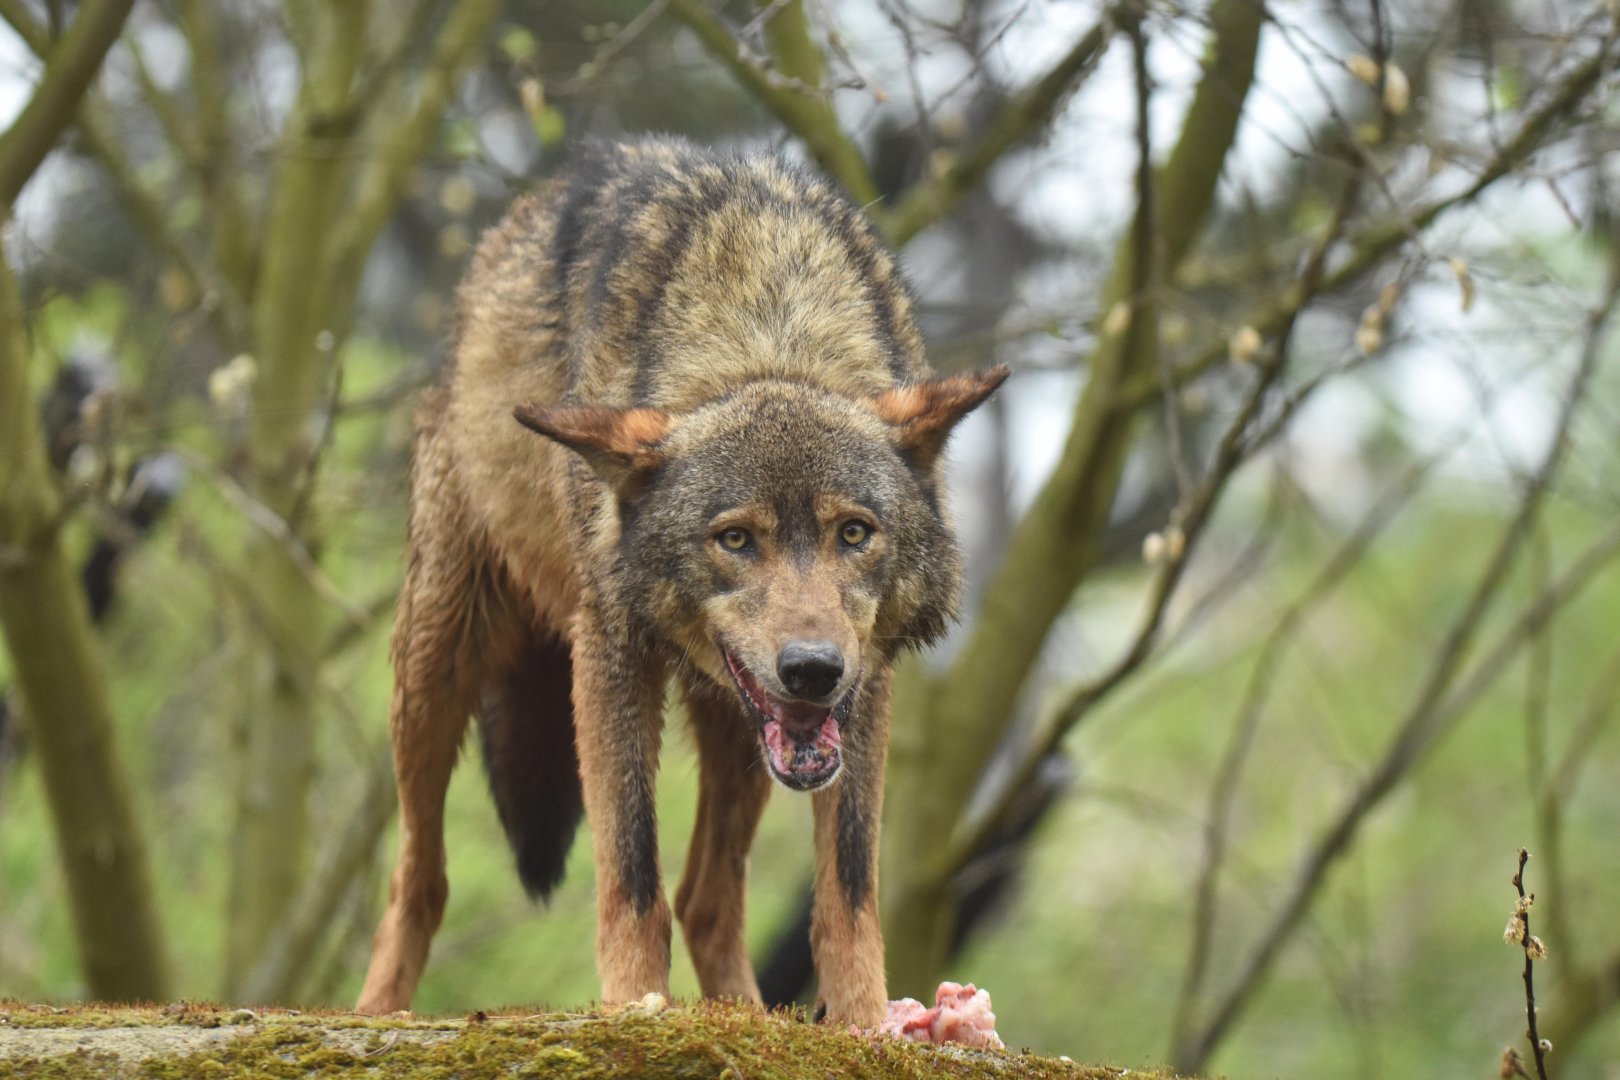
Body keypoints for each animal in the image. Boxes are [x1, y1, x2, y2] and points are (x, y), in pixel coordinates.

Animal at [355, 137, 1004, 1026]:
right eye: (734, 538)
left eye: (854, 532)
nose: (812, 669)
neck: (766, 328)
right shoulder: (608, 653)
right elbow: (631, 873)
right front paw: (637, 1007)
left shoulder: (866, 684)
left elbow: (848, 888)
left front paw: (867, 1023)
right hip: (434, 671)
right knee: (417, 881)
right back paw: (374, 1013)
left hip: (737, 731)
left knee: (707, 897)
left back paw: (747, 1016)